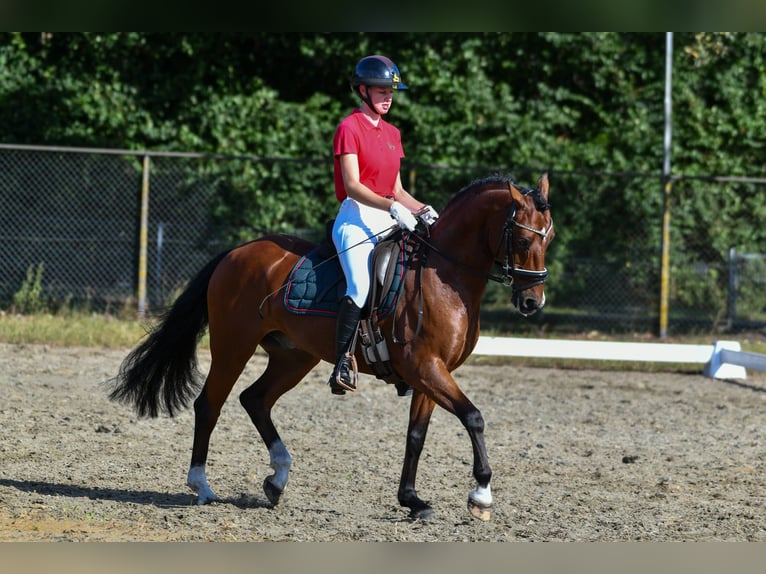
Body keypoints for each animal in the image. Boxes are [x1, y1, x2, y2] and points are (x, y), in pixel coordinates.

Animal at [108, 172, 554, 521]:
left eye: (548, 237)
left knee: (255, 399)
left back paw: (277, 479)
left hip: (294, 356)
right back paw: (201, 485)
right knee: (209, 405)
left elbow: (416, 436)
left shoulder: (431, 371)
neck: (442, 274)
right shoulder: (426, 366)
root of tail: (238, 251)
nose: (533, 302)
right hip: (234, 346)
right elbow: (474, 417)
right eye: (520, 237)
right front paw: (481, 495)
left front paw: (412, 500)